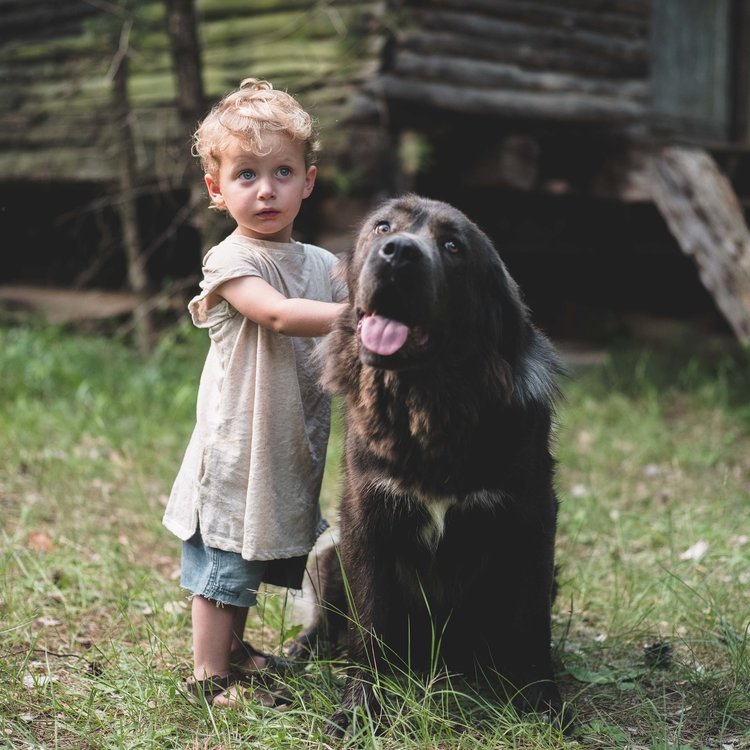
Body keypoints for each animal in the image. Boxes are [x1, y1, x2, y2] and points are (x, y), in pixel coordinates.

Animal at [296, 192, 568, 736]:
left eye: (453, 246)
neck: (429, 405)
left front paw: (542, 702)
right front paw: (361, 707)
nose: (398, 252)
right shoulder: (364, 517)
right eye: (382, 227)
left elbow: (531, 627)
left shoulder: (532, 520)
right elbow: (371, 625)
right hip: (328, 555)